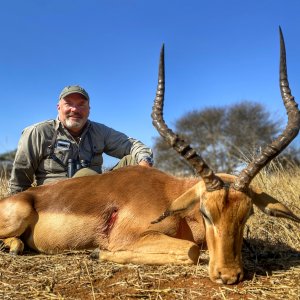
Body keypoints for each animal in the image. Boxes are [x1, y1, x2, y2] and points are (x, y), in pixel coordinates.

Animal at [0, 29, 298, 284]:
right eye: (205, 212)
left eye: (247, 213)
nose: (228, 275)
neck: (171, 198)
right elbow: (191, 250)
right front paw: (99, 252)